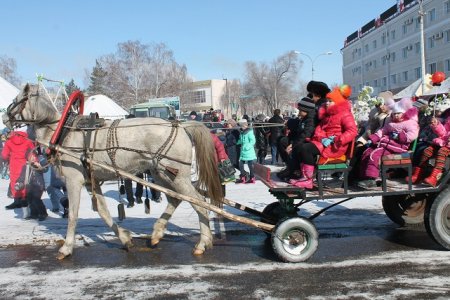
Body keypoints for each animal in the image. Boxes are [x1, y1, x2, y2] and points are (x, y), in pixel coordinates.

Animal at [4, 83, 223, 258]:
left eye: (15, 100)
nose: (5, 118)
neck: (62, 132)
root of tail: (181, 125)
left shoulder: (74, 180)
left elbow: (73, 214)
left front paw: (66, 248)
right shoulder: (91, 180)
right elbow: (103, 211)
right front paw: (125, 239)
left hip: (176, 176)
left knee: (199, 202)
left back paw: (202, 243)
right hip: (161, 174)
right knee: (176, 199)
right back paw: (157, 234)